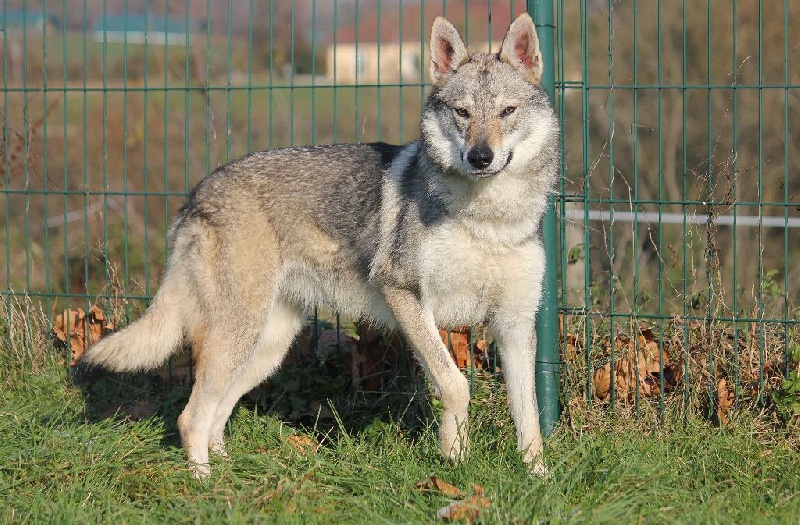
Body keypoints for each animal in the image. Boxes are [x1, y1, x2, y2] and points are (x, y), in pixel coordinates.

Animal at [78, 12, 560, 478]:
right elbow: (455, 385)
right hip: (238, 335)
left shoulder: (515, 323)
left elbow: (530, 413)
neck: (489, 221)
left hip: (265, 349)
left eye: (507, 111)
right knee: (190, 417)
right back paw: (207, 485)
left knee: (218, 412)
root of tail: (196, 194)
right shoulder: (405, 296)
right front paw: (455, 461)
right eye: (462, 112)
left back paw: (232, 470)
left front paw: (538, 476)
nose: (480, 157)